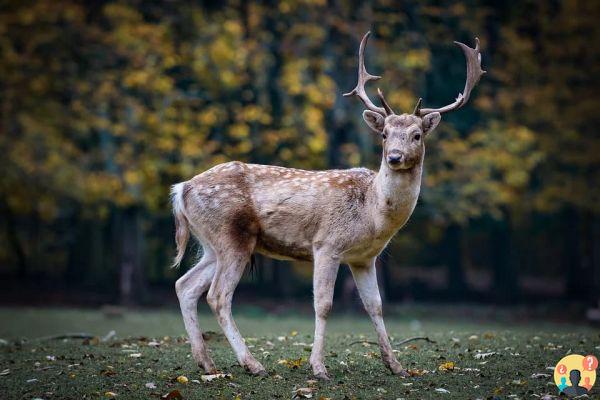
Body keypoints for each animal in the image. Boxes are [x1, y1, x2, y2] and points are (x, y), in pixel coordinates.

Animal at [171, 30, 486, 378]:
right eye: (385, 134)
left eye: (416, 135)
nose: (394, 157)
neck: (372, 214)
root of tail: (181, 189)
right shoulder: (326, 244)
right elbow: (323, 305)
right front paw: (318, 367)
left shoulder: (364, 258)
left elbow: (375, 306)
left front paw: (396, 365)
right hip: (231, 236)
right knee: (217, 296)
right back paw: (253, 364)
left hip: (211, 243)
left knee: (185, 285)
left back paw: (206, 363)